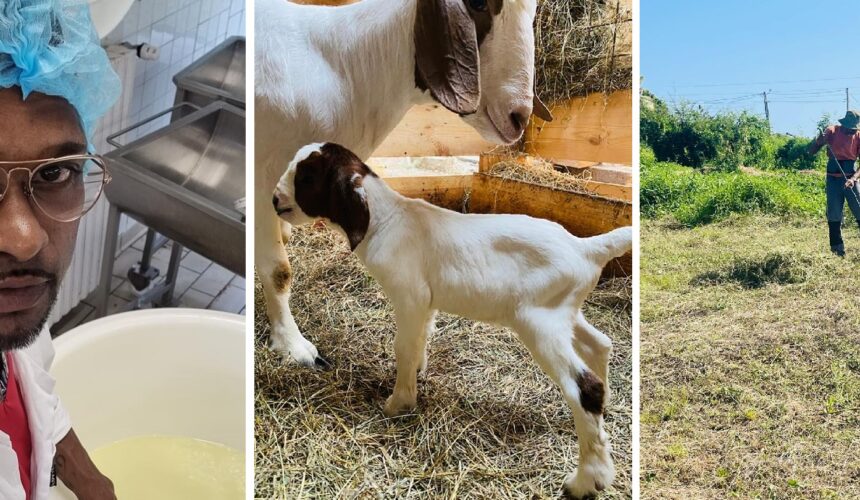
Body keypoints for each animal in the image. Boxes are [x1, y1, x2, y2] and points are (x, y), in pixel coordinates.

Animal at [255, 0, 552, 370]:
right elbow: (279, 271)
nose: (519, 117)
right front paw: (293, 346)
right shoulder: (261, 183)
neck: (345, 66)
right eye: (478, 5)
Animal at [274, 142, 630, 498]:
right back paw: (607, 413)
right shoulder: (425, 302)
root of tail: (587, 248)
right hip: (563, 312)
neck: (386, 218)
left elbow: (403, 347)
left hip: (539, 322)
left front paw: (399, 403)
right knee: (600, 344)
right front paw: (417, 374)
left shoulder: (410, 297)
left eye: (307, 177)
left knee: (585, 388)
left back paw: (587, 481)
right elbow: (420, 339)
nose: (276, 200)